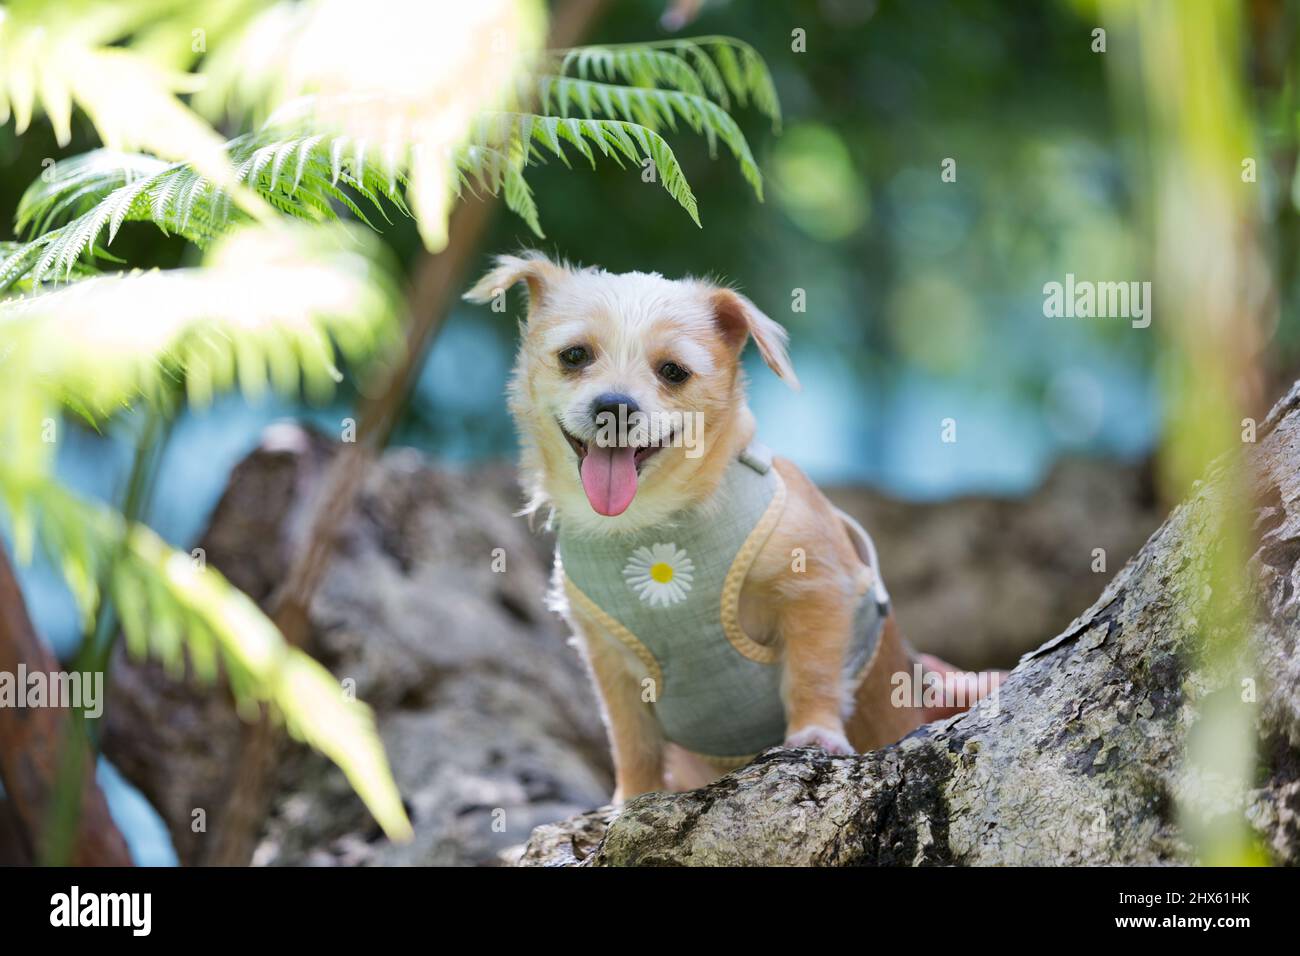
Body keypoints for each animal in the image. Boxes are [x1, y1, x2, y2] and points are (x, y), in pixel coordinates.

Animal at [473, 254, 961, 801]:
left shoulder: (818, 588)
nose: (615, 405)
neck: (647, 528)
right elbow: (630, 737)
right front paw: (632, 798)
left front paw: (815, 733)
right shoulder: (606, 657)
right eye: (575, 355)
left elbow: (812, 673)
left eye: (673, 371)